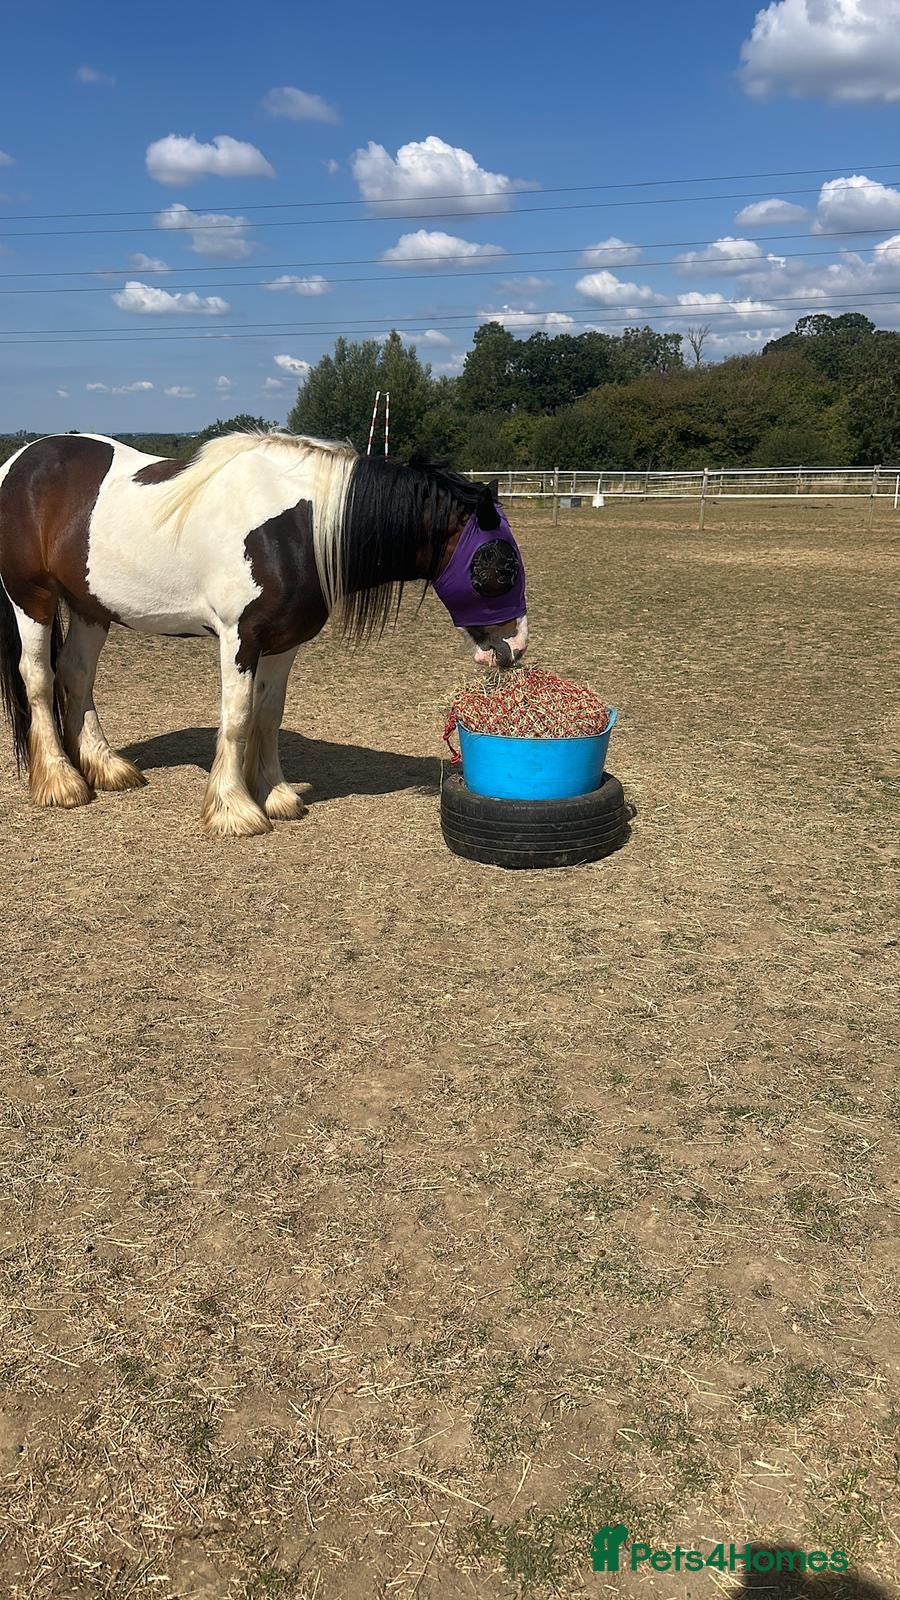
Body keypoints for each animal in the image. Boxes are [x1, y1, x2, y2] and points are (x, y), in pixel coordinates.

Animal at [0, 430, 528, 836]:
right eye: (500, 562)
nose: (515, 647)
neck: (297, 526)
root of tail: (20, 462)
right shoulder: (240, 639)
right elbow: (236, 718)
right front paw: (234, 810)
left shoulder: (283, 643)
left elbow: (268, 716)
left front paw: (276, 795)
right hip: (33, 599)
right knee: (41, 679)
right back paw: (62, 782)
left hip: (91, 608)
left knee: (76, 675)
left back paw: (104, 767)